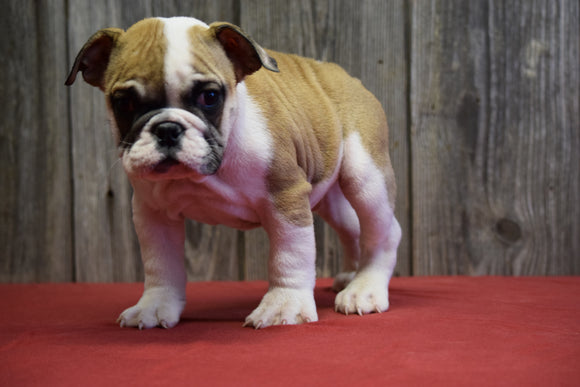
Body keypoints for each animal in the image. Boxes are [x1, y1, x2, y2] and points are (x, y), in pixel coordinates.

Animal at [65, 16, 402, 328]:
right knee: (354, 228)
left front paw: (284, 305)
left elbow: (290, 255)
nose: (167, 128)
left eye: (210, 97)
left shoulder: (286, 197)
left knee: (384, 231)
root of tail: (342, 74)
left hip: (364, 176)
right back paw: (351, 275)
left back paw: (365, 288)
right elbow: (160, 264)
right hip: (330, 197)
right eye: (124, 103)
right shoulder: (152, 213)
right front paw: (155, 305)